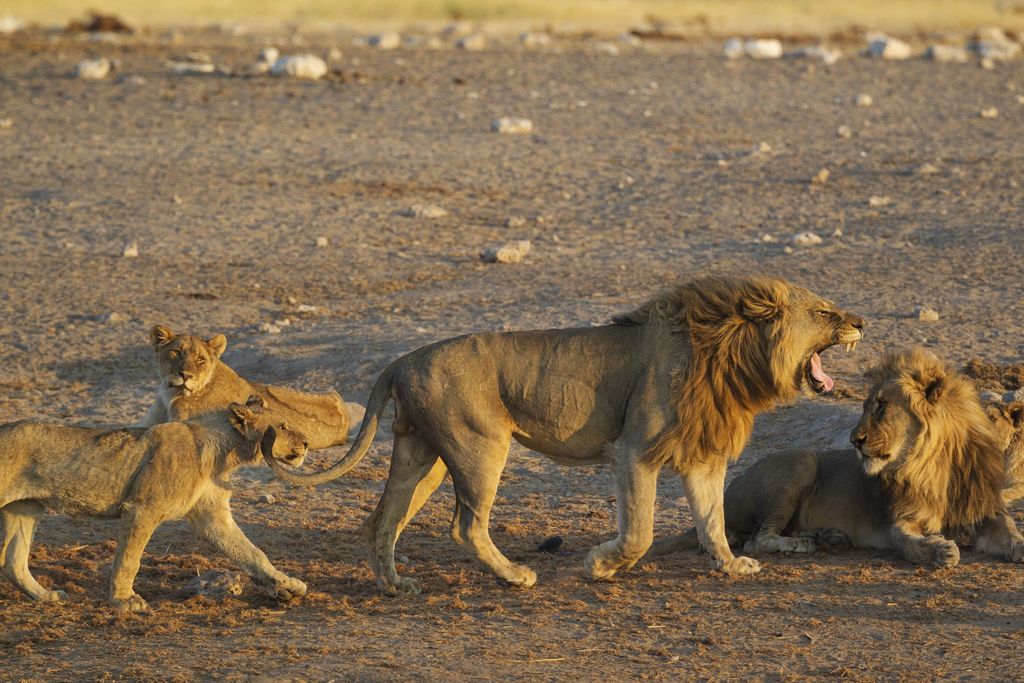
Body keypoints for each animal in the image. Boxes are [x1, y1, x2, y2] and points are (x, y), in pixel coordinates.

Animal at [2, 397, 309, 610]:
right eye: (283, 427)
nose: (306, 443)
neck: (224, 454)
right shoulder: (142, 508)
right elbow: (129, 559)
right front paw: (124, 601)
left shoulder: (212, 518)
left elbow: (252, 552)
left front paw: (285, 584)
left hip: (25, 508)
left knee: (13, 562)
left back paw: (47, 596)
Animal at [264, 274, 864, 593]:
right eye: (824, 311)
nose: (861, 322)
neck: (727, 351)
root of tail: (404, 358)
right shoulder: (635, 450)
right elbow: (640, 532)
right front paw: (600, 564)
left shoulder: (702, 456)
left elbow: (712, 521)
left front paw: (732, 565)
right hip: (480, 447)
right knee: (466, 525)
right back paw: (514, 576)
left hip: (423, 454)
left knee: (381, 520)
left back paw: (395, 586)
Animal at [647, 350, 1024, 569]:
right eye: (865, 405)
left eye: (881, 406)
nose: (854, 441)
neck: (934, 463)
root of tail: (725, 496)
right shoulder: (898, 520)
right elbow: (909, 545)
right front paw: (939, 551)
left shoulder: (985, 509)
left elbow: (1009, 531)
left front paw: (1019, 546)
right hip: (801, 461)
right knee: (758, 539)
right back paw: (805, 543)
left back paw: (827, 537)